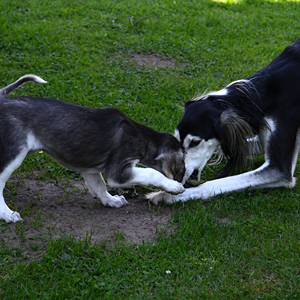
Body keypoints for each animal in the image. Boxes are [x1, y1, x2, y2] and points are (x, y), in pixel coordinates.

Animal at [0, 75, 185, 223]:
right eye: (182, 168)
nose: (183, 181)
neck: (141, 137)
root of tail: (3, 100)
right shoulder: (118, 172)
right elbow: (151, 173)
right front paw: (173, 186)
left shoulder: (90, 169)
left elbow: (100, 186)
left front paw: (111, 201)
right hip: (14, 154)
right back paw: (7, 214)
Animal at [148, 38, 300, 204]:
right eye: (176, 139)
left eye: (195, 142)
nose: (176, 177)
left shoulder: (279, 168)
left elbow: (210, 185)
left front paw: (166, 195)